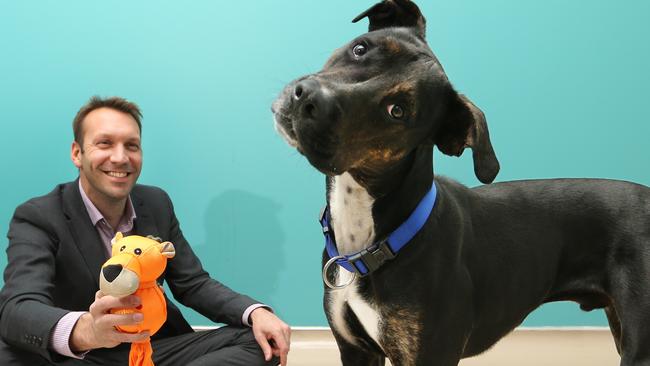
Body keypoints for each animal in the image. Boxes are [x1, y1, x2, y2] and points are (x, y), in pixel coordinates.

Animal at [270, 1, 644, 364]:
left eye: (397, 111)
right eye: (360, 48)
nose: (307, 97)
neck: (371, 236)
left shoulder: (431, 354)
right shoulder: (355, 350)